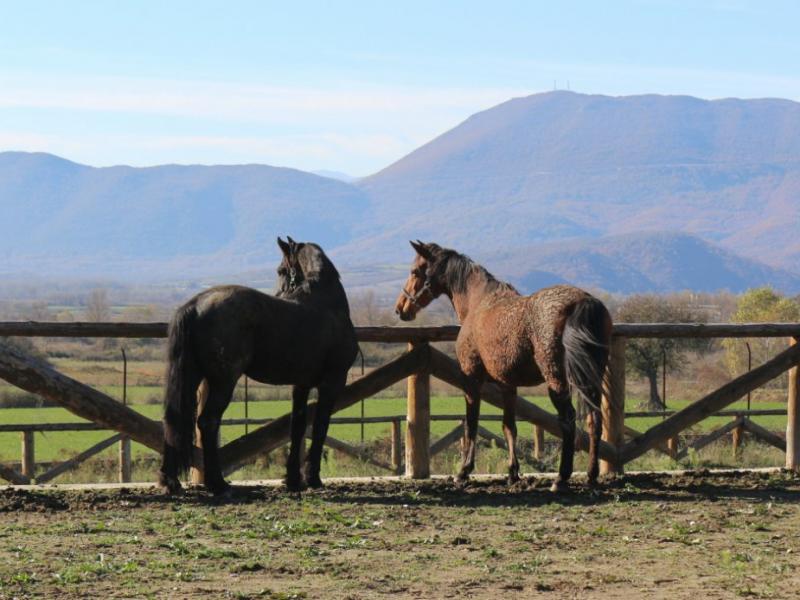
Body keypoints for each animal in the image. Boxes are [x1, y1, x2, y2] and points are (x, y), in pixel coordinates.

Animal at [158, 237, 358, 494]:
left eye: (281, 270)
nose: (279, 292)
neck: (327, 304)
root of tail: (195, 305)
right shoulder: (332, 382)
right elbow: (320, 426)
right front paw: (312, 478)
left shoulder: (301, 385)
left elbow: (297, 425)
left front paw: (293, 479)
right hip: (223, 381)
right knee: (207, 421)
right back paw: (217, 483)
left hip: (192, 376)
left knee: (174, 419)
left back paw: (170, 480)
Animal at [396, 243, 612, 492]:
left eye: (415, 271)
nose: (400, 308)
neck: (478, 302)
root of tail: (582, 301)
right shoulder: (507, 385)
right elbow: (509, 426)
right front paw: (513, 473)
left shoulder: (471, 379)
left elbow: (471, 424)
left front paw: (464, 471)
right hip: (591, 377)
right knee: (594, 420)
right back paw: (591, 475)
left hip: (556, 379)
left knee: (568, 420)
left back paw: (561, 478)